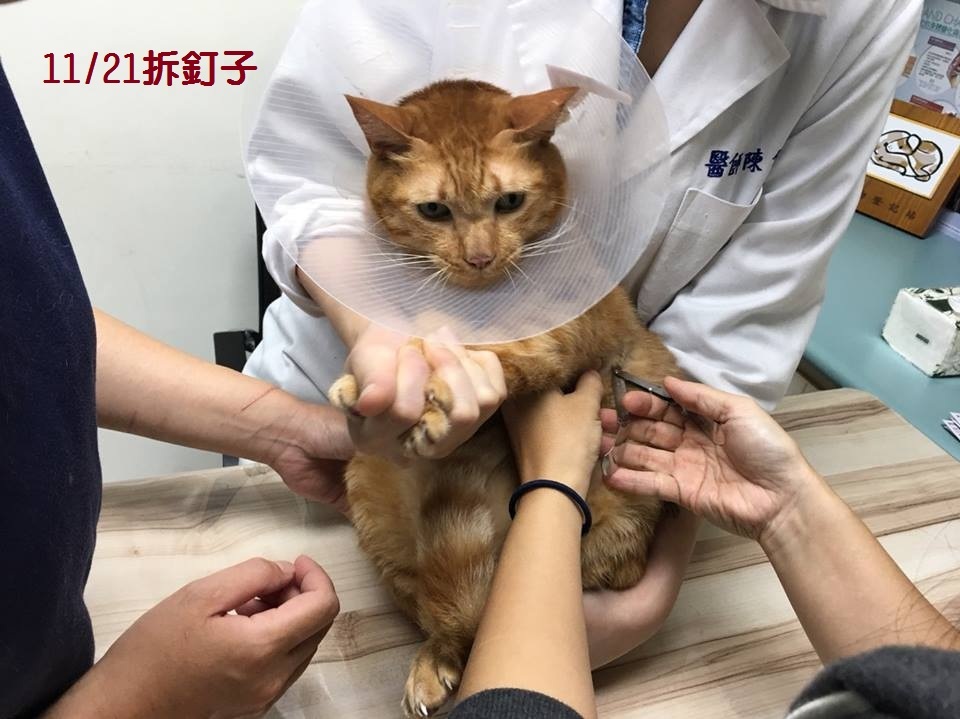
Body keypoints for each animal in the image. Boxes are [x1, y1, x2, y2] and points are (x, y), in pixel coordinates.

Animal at [329, 79, 681, 717]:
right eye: (434, 210)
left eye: (510, 202)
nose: (479, 257)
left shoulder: (559, 336)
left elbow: (489, 352)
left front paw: (429, 385)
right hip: (369, 491)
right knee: (434, 606)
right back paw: (434, 662)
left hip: (615, 527)